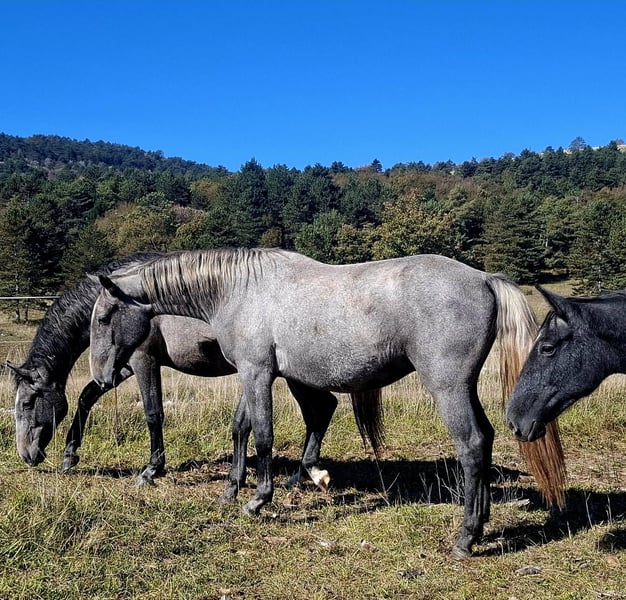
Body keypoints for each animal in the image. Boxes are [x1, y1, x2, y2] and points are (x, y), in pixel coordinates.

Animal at [8, 252, 378, 489]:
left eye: (27, 403)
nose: (26, 455)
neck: (142, 299)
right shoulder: (120, 367)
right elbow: (86, 396)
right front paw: (70, 455)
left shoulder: (143, 361)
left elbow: (153, 413)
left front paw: (152, 470)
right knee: (323, 409)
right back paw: (300, 476)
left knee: (322, 408)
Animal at [89, 248, 565, 558]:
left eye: (105, 316)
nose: (102, 375)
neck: (239, 290)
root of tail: (483, 278)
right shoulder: (253, 373)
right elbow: (243, 427)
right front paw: (232, 490)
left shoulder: (256, 372)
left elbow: (263, 436)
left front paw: (258, 500)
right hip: (462, 388)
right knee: (484, 439)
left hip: (448, 387)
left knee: (471, 445)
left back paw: (466, 537)